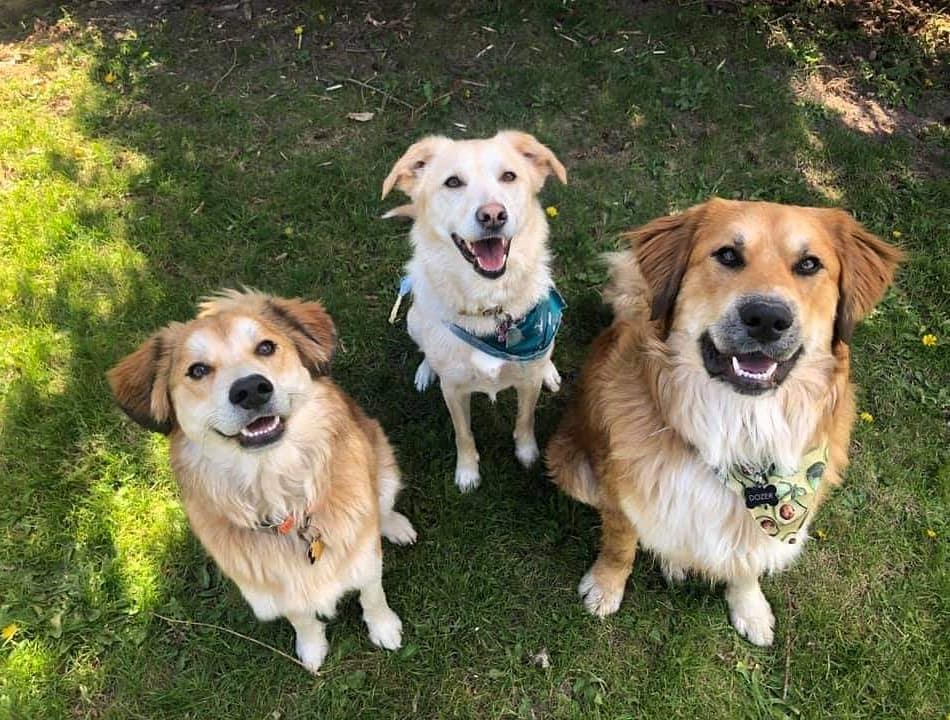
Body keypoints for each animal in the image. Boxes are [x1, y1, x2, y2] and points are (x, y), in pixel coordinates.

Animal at [108, 290, 416, 672]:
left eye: (266, 347)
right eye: (197, 370)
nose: (251, 389)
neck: (284, 500)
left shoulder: (365, 559)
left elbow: (372, 594)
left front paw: (384, 628)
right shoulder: (271, 587)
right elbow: (301, 617)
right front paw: (312, 648)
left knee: (383, 504)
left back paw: (396, 525)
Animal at [384, 131, 568, 490]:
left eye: (509, 176)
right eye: (453, 182)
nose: (493, 215)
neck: (490, 308)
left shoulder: (527, 383)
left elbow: (525, 419)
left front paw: (527, 454)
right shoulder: (454, 391)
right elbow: (463, 434)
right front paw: (467, 472)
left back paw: (550, 370)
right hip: (413, 319)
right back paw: (426, 370)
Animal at [548, 200, 904, 644]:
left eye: (809, 264)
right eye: (728, 255)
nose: (767, 318)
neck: (741, 432)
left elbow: (748, 561)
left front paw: (750, 607)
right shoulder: (620, 495)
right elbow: (620, 544)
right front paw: (605, 586)